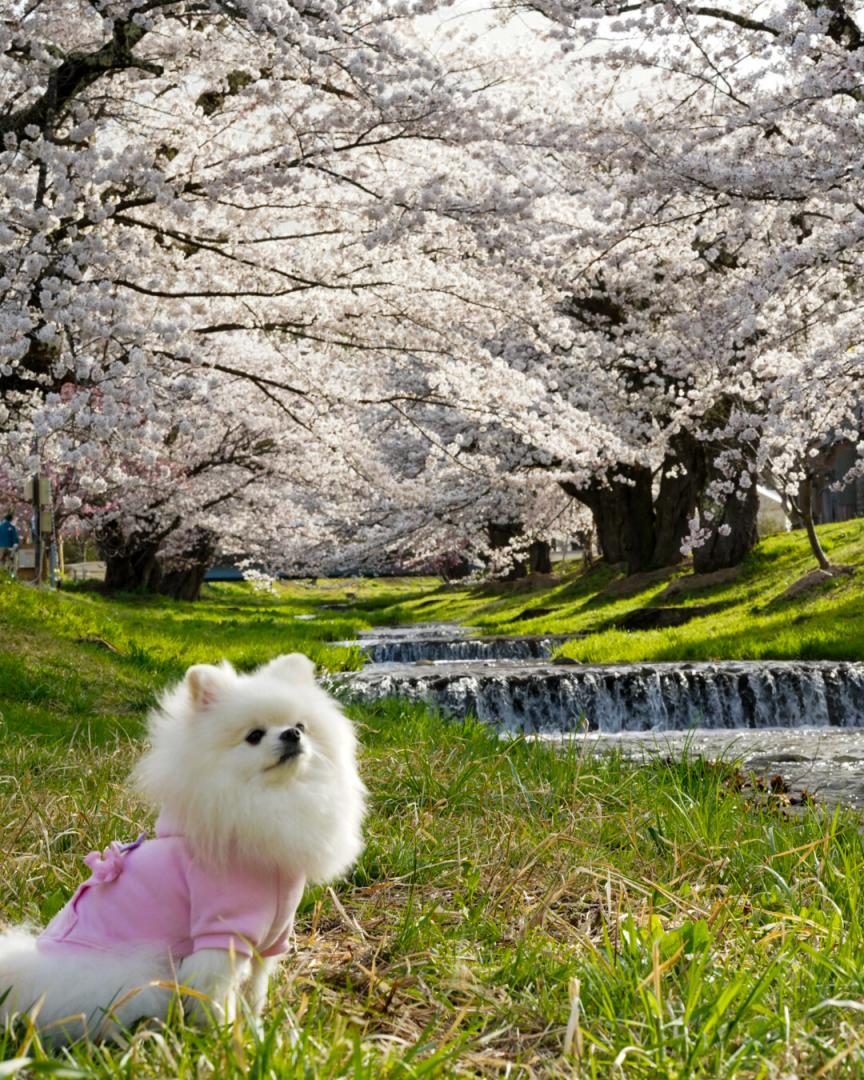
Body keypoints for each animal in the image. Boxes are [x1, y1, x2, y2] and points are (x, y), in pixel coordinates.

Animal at [0, 652, 367, 1041]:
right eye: (254, 736)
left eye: (301, 725)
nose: (292, 734)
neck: (274, 799)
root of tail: (27, 973)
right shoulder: (221, 934)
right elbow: (217, 997)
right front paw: (224, 1039)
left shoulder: (269, 940)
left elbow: (254, 991)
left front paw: (256, 1030)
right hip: (135, 977)